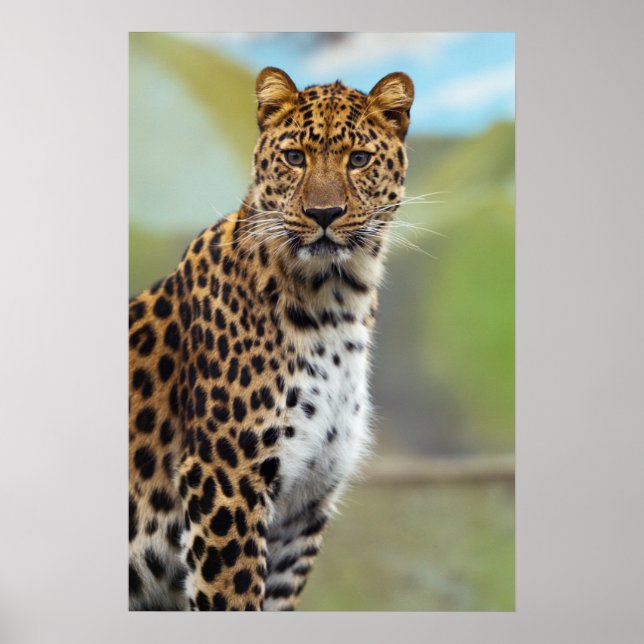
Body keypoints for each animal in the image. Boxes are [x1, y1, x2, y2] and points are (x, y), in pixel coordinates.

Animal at [128, 66, 414, 611]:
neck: (336, 304)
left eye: (359, 159)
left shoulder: (302, 508)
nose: (324, 213)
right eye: (295, 157)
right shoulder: (226, 480)